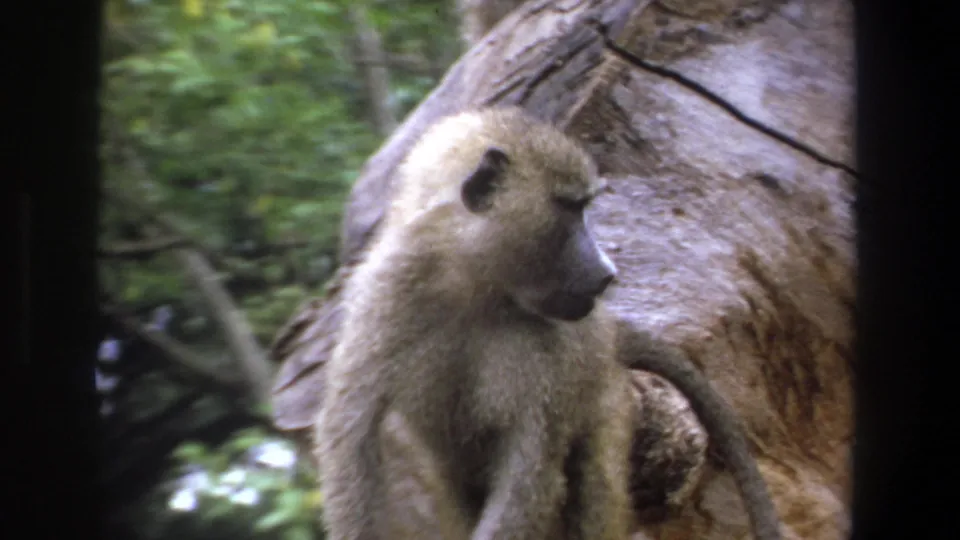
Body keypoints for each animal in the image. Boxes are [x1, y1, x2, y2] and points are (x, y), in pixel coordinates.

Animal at [315, 106, 634, 540]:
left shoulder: (548, 352)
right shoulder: (391, 286)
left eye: (582, 205)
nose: (607, 273)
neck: (475, 284)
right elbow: (351, 427)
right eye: (570, 207)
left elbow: (527, 469)